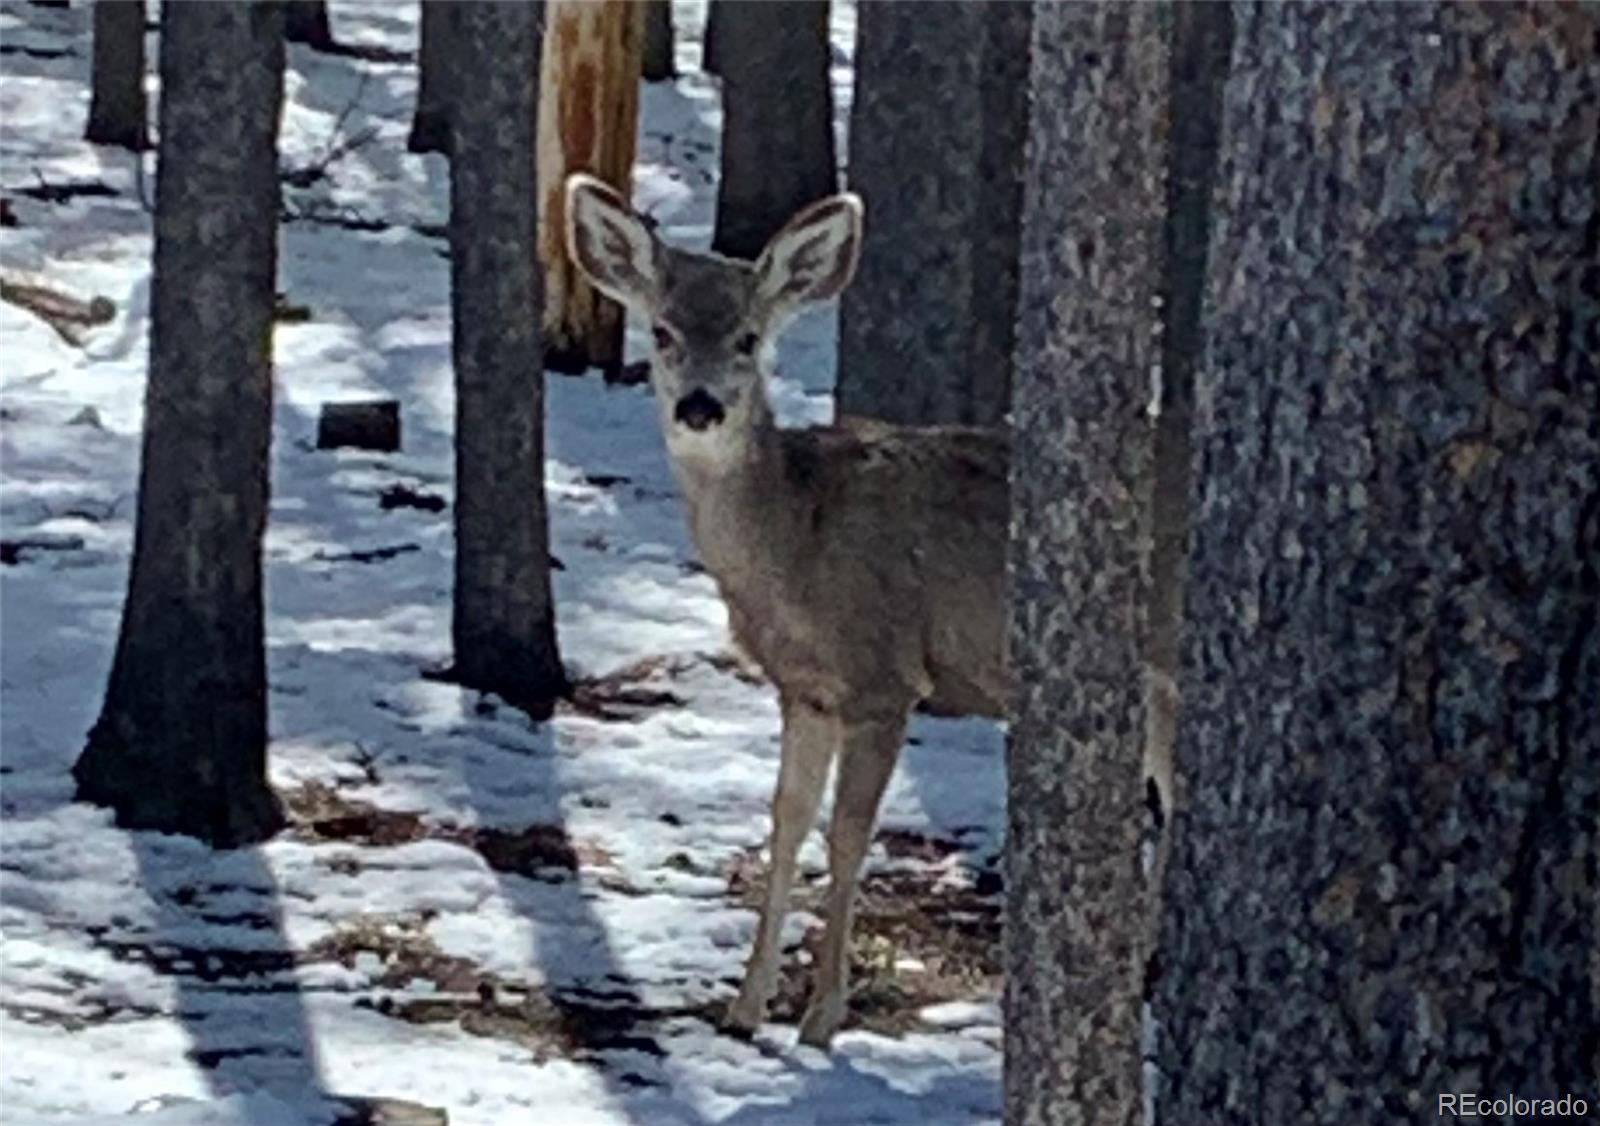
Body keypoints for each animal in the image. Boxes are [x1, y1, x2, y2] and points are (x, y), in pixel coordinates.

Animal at [569, 175, 1004, 1049]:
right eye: (662, 331)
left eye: (746, 337)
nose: (700, 407)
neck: (800, 550)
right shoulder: (805, 689)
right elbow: (786, 821)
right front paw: (744, 1008)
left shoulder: (884, 677)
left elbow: (848, 836)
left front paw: (822, 1018)